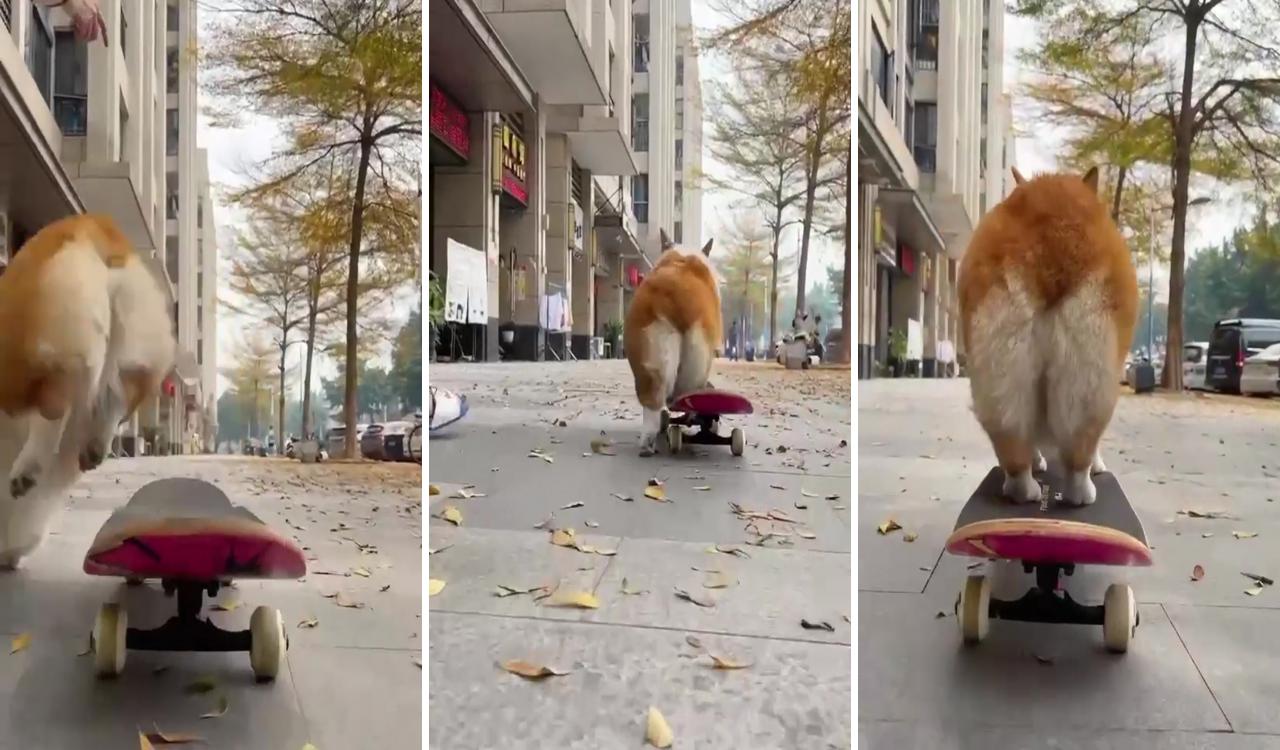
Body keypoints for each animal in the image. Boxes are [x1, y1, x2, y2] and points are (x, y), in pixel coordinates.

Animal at [0, 213, 175, 563]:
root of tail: (96, 227)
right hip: (137, 346)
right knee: (116, 394)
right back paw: (92, 449)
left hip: (48, 347)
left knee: (54, 408)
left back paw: (26, 471)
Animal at [962, 163, 1141, 501]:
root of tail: (1053, 237)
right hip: (1094, 371)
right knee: (1081, 448)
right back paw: (1082, 493)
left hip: (1002, 367)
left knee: (1014, 441)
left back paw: (1024, 488)